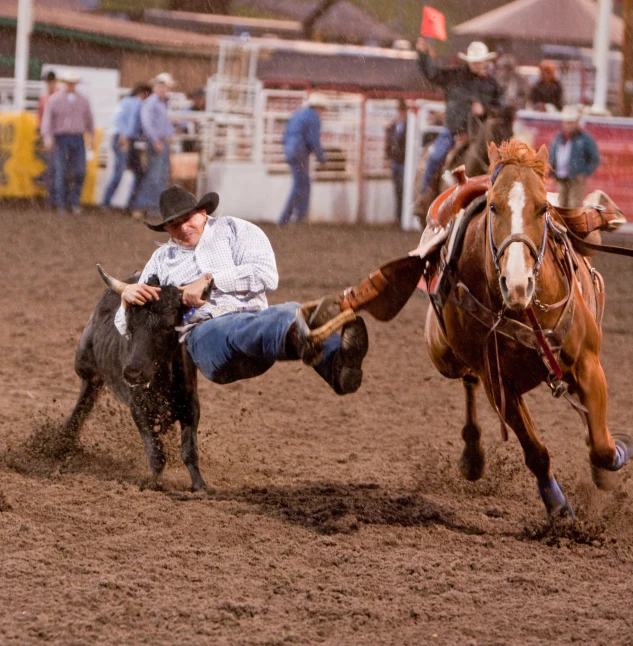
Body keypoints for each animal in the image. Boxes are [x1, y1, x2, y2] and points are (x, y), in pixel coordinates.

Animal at [422, 142, 628, 520]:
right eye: (493, 206)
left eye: (543, 207)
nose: (517, 283)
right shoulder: (499, 383)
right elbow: (536, 451)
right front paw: (558, 507)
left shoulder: (588, 364)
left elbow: (603, 447)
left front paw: (615, 455)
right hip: (444, 355)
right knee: (467, 378)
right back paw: (472, 455)